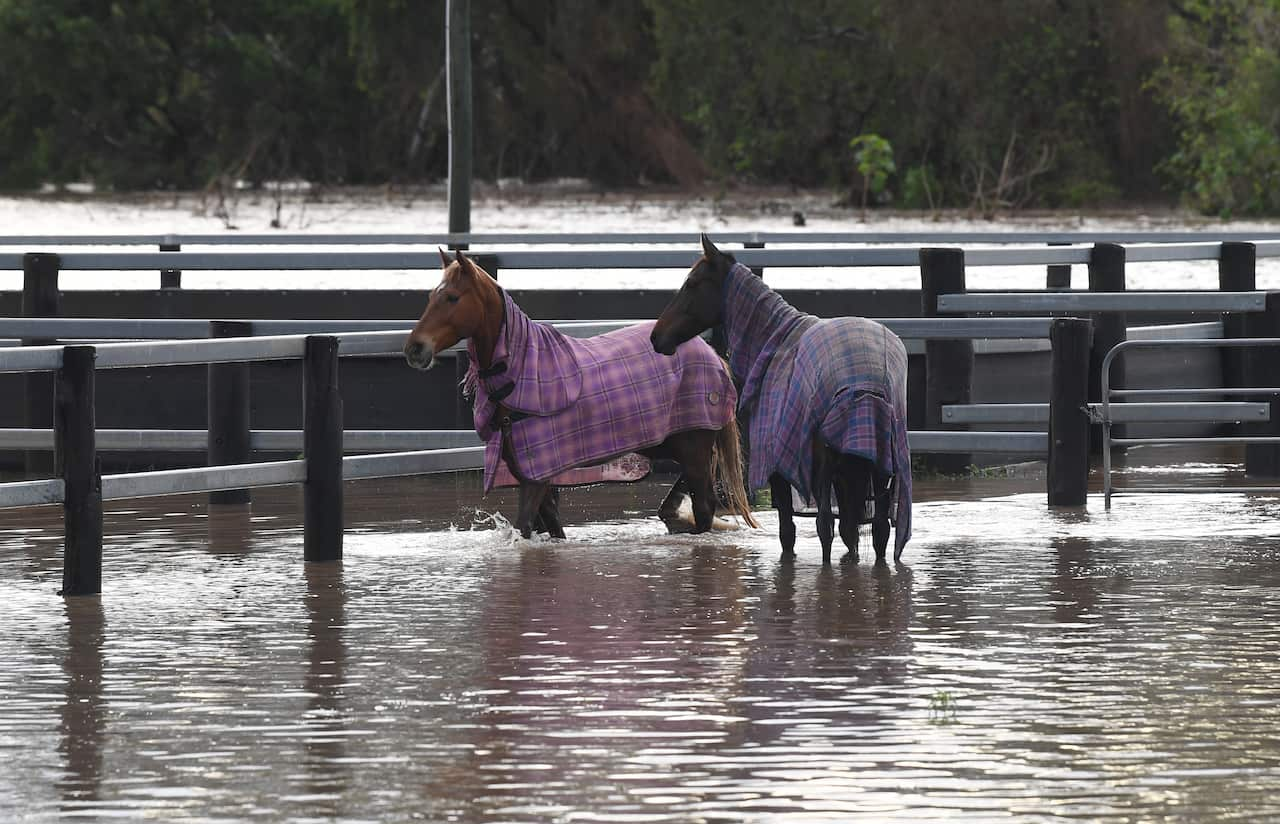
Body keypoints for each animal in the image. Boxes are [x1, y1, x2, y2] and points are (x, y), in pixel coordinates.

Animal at [401, 248, 757, 537]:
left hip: (695, 446)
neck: (524, 374)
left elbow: (524, 528)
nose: (415, 348)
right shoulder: (534, 476)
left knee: (704, 507)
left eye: (452, 297)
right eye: (431, 296)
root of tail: (712, 355)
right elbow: (551, 529)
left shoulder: (536, 478)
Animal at [650, 235, 911, 562]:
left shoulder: (779, 469)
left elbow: (789, 531)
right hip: (878, 466)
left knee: (826, 526)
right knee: (876, 530)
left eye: (692, 283)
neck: (775, 338)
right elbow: (849, 530)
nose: (656, 337)